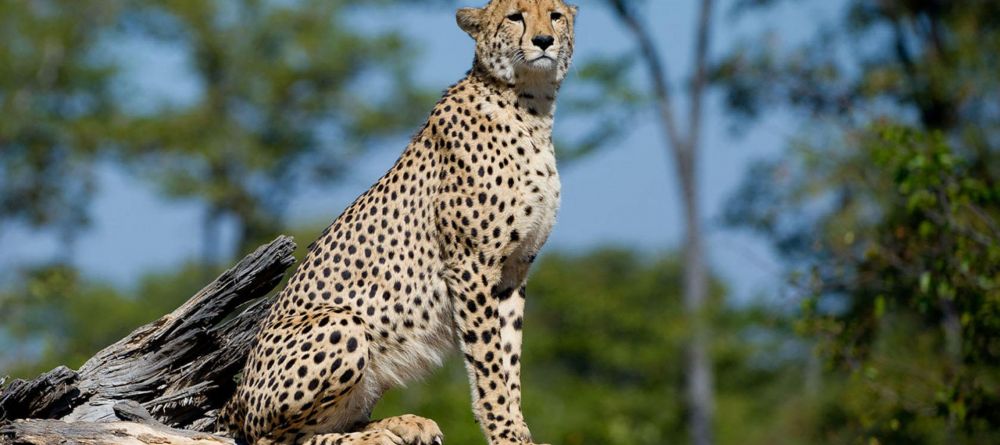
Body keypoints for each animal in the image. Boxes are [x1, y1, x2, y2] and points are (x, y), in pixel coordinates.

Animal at [218, 1, 580, 442]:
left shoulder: (514, 269)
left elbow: (509, 358)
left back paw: (405, 422)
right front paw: (504, 432)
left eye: (556, 14)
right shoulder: (471, 265)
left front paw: (520, 431)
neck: (531, 106)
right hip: (343, 325)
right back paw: (376, 434)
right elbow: (489, 363)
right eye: (515, 16)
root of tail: (235, 402)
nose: (544, 40)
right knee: (277, 437)